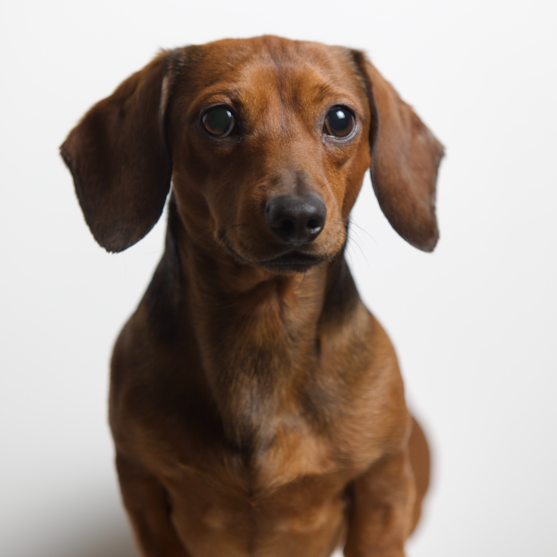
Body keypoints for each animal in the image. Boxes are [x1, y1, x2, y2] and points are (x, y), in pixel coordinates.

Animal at [60, 34, 444, 556]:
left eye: (340, 119)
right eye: (218, 119)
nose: (298, 216)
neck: (264, 323)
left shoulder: (380, 489)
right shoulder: (142, 490)